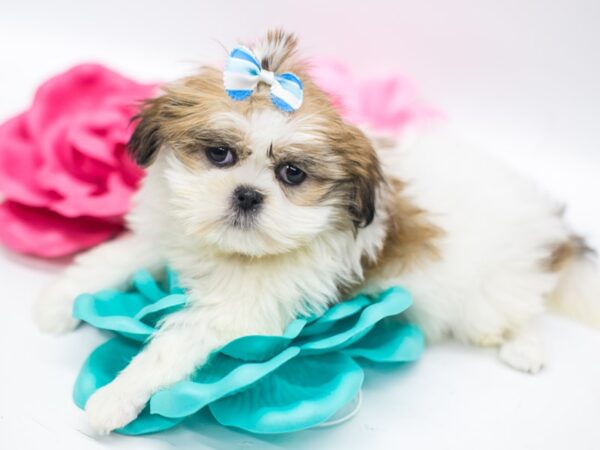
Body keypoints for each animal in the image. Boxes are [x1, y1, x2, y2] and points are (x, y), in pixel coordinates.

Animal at [34, 29, 600, 434]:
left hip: (490, 288)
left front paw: (113, 398)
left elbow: (175, 344)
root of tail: (552, 226)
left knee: (514, 311)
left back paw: (523, 347)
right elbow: (109, 260)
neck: (230, 248)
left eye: (292, 174)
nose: (247, 195)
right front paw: (58, 303)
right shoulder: (164, 232)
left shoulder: (242, 308)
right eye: (219, 154)